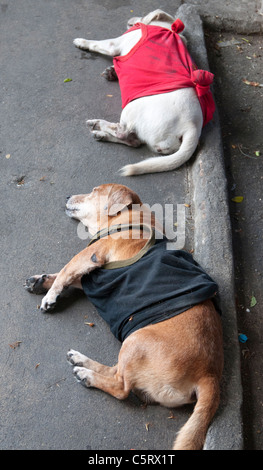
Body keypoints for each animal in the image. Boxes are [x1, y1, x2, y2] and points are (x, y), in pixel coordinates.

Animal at [24, 185, 224, 452]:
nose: (66, 196)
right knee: (115, 371)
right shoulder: (89, 277)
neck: (128, 218)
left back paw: (87, 376)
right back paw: (81, 361)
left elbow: (65, 272)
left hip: (135, 341)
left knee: (121, 387)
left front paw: (50, 296)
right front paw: (40, 280)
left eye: (94, 191)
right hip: (131, 346)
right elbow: (63, 276)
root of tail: (209, 375)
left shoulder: (91, 255)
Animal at [73, 9, 216, 176]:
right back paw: (101, 134)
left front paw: (81, 42)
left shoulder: (114, 44)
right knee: (133, 141)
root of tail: (192, 125)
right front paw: (112, 72)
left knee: (122, 131)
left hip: (132, 108)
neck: (167, 28)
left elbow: (97, 43)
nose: (130, 19)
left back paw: (98, 124)